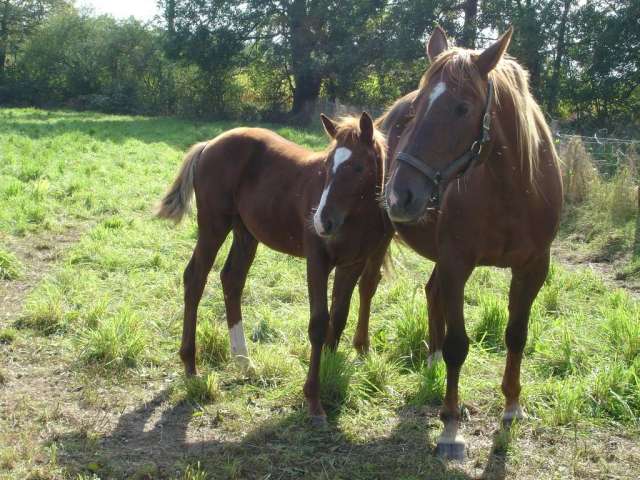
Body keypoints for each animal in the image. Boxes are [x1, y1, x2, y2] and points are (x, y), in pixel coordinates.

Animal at [158, 112, 392, 424]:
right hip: (213, 225)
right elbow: (319, 322)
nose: (322, 222)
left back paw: (244, 361)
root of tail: (209, 144)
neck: (355, 218)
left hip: (245, 233)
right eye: (327, 166)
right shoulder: (317, 261)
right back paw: (190, 365)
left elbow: (339, 317)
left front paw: (331, 372)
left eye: (357, 167)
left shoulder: (352, 264)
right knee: (195, 278)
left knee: (232, 280)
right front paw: (313, 400)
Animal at [382, 27, 564, 458]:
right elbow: (458, 345)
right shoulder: (457, 264)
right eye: (416, 109)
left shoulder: (533, 268)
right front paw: (450, 427)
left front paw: (512, 406)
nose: (399, 195)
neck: (513, 191)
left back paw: (431, 361)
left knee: (431, 292)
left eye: (462, 108)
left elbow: (516, 335)